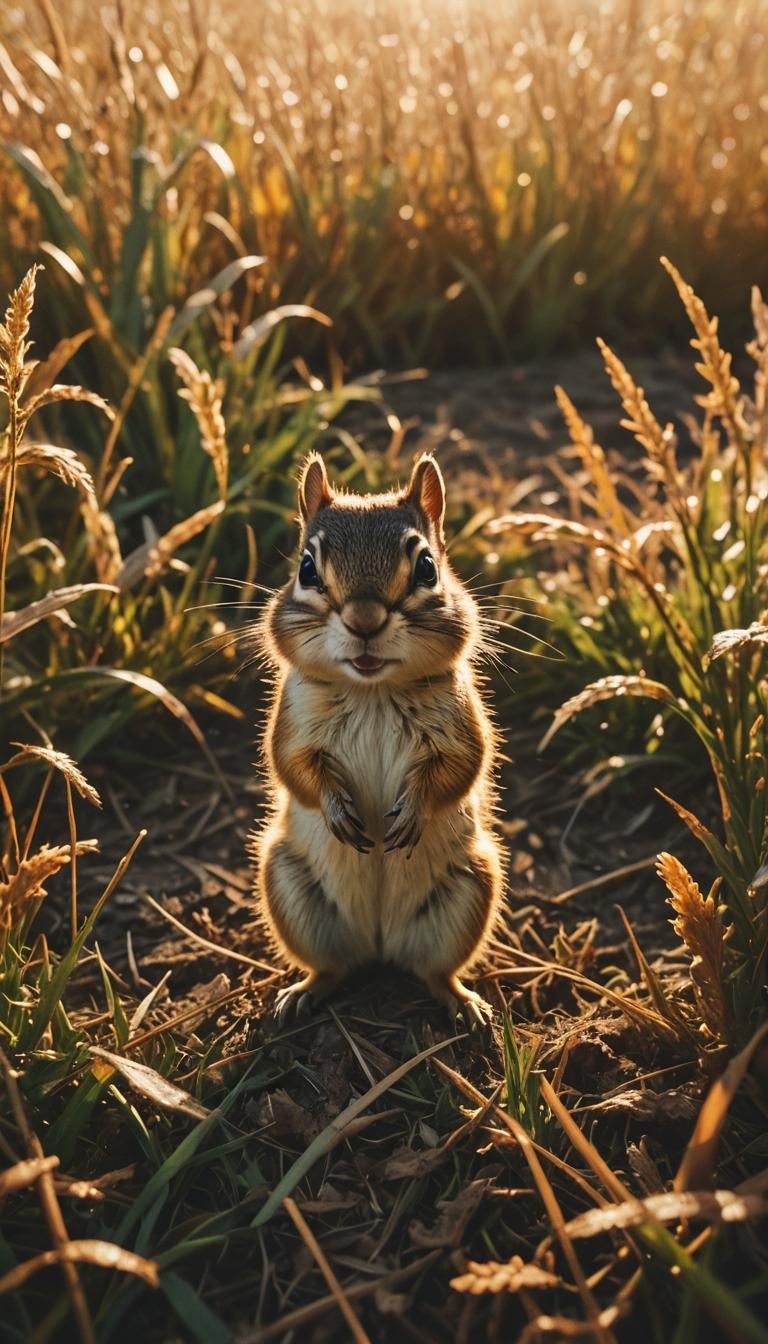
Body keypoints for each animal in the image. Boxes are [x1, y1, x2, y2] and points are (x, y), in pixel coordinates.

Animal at [252, 451, 504, 1028]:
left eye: (427, 567)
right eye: (306, 569)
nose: (364, 621)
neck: (372, 691)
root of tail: (381, 942)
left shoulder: (460, 728)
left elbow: (461, 768)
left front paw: (412, 809)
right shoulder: (293, 726)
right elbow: (293, 767)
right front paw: (337, 808)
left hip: (469, 889)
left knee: (434, 972)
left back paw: (462, 1002)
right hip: (290, 888)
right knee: (334, 967)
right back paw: (303, 992)